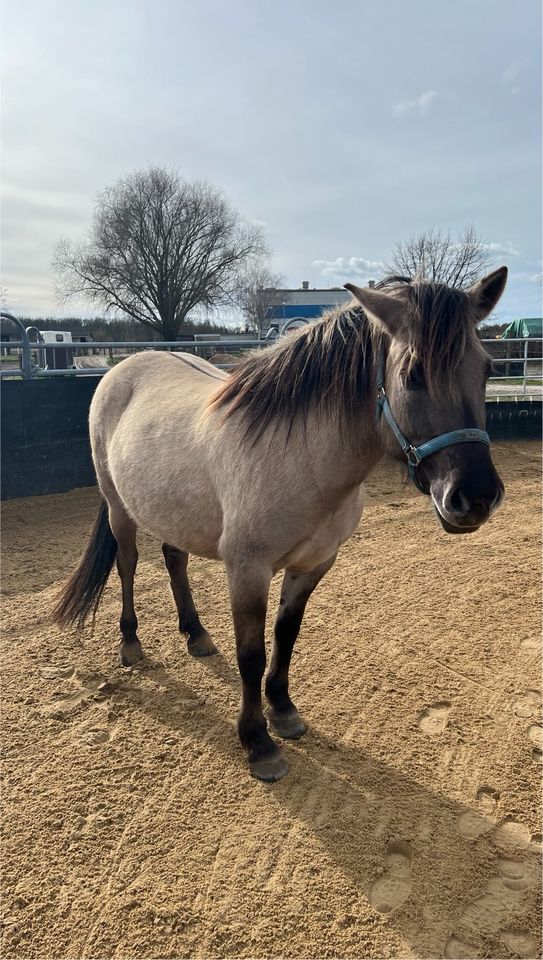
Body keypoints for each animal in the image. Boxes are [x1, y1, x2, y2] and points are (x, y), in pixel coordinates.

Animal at [53, 264, 508, 780]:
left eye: (487, 370)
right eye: (413, 375)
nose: (476, 498)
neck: (300, 456)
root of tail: (121, 370)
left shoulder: (312, 565)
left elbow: (285, 638)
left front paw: (284, 711)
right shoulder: (247, 571)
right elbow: (251, 654)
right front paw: (258, 742)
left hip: (175, 513)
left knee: (174, 560)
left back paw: (196, 634)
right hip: (119, 509)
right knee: (127, 566)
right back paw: (130, 644)